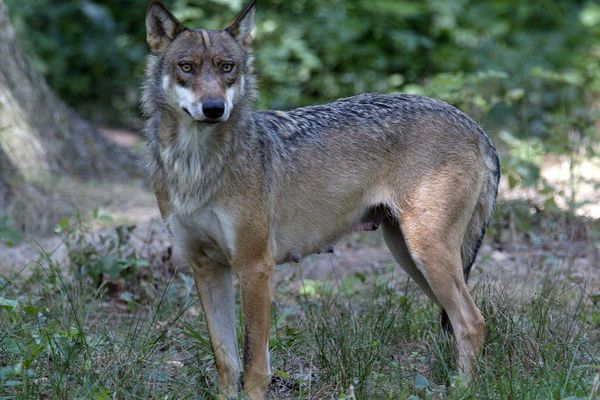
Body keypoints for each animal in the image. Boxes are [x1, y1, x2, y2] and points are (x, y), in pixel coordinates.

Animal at [143, 1, 500, 398]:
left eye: (227, 67)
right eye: (186, 67)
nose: (214, 108)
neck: (196, 165)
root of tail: (475, 126)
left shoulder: (255, 267)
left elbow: (253, 366)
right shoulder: (206, 268)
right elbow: (226, 361)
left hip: (427, 254)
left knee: (473, 321)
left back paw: (462, 388)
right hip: (411, 257)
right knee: (458, 320)